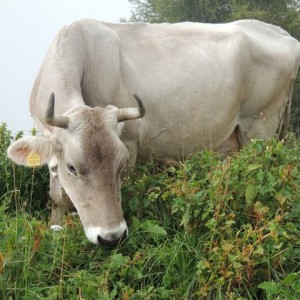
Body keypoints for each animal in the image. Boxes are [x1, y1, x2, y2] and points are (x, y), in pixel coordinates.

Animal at [6, 18, 300, 246]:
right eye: (72, 168)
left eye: (120, 165)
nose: (111, 238)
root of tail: (277, 31)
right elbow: (57, 197)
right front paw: (55, 232)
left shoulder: (130, 142)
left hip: (259, 126)